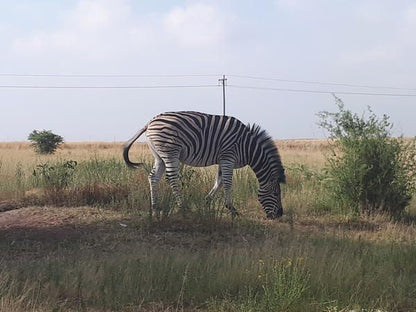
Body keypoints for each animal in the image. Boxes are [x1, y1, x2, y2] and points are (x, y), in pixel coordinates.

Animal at [123, 111, 286, 218]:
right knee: (172, 180)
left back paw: (155, 206)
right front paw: (232, 209)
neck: (248, 147)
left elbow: (219, 182)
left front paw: (207, 201)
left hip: (159, 156)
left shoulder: (223, 159)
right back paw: (183, 206)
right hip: (170, 152)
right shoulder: (228, 157)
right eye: (276, 194)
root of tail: (150, 122)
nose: (279, 215)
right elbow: (227, 183)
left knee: (153, 177)